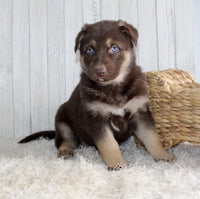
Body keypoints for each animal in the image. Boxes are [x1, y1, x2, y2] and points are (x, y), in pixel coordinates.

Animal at [19, 19, 174, 169]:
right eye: (89, 50)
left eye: (114, 48)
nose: (99, 71)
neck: (112, 87)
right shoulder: (97, 117)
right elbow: (109, 144)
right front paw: (117, 163)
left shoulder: (140, 112)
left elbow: (152, 137)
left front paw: (162, 156)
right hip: (61, 120)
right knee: (64, 140)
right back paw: (65, 150)